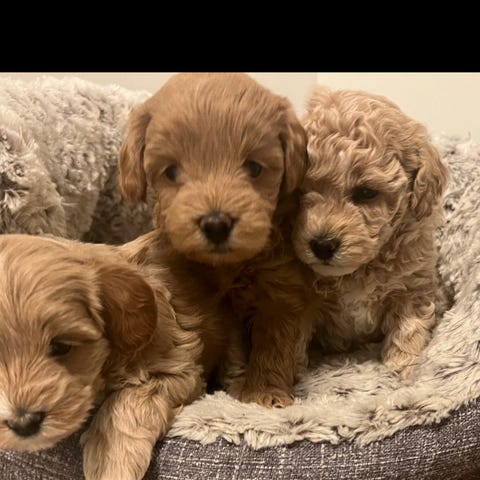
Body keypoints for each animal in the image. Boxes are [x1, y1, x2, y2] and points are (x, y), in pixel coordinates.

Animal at [119, 73, 318, 407]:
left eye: (254, 168)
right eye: (171, 171)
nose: (216, 224)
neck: (226, 267)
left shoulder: (281, 290)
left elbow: (274, 345)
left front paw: (265, 393)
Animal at [292, 87, 448, 378]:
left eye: (366, 193)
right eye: (300, 191)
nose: (322, 245)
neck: (359, 270)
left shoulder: (412, 287)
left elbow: (408, 328)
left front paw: (401, 368)